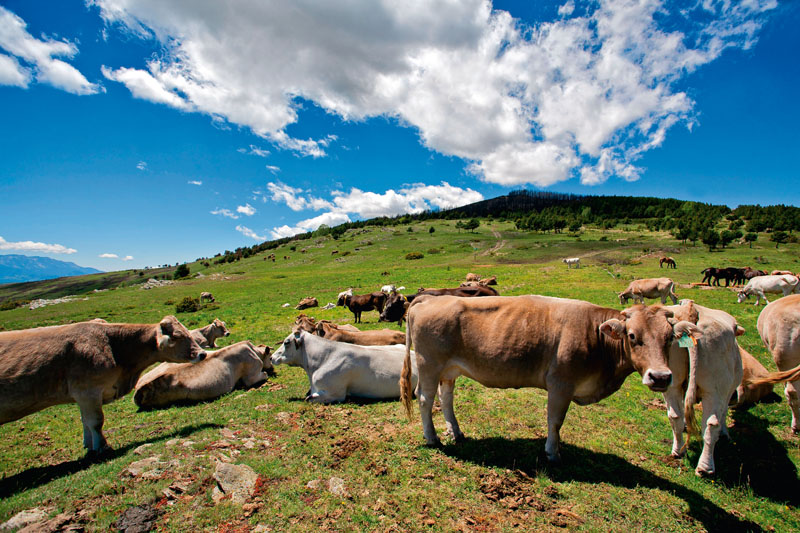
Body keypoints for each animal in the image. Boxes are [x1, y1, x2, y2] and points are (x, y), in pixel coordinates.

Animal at [0, 316, 206, 454]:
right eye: (178, 336)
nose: (202, 354)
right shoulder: (87, 391)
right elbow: (96, 421)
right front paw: (102, 447)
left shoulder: (83, 396)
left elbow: (85, 420)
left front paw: (89, 445)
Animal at [134, 338, 276, 410]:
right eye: (270, 357)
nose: (273, 367)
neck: (255, 352)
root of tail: (138, 389)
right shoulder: (251, 376)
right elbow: (263, 374)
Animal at [400, 296, 692, 462]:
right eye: (632, 336)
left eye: (669, 338)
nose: (660, 376)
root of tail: (427, 298)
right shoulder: (561, 383)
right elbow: (555, 420)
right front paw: (553, 451)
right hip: (429, 363)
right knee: (425, 398)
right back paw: (432, 437)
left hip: (449, 369)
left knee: (446, 397)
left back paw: (456, 432)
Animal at [664, 302, 744, 476]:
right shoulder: (726, 393)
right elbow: (723, 415)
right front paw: (725, 433)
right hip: (714, 390)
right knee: (711, 425)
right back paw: (705, 468)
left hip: (671, 383)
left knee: (675, 416)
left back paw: (678, 451)